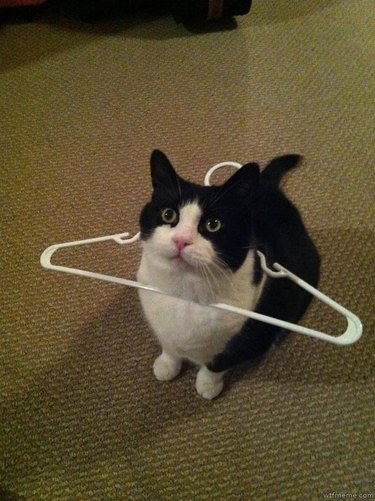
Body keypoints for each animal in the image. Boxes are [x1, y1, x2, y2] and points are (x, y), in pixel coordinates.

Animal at [137, 148, 320, 398]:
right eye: (168, 215)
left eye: (213, 224)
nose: (181, 240)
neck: (184, 292)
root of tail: (267, 185)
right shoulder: (159, 321)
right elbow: (169, 345)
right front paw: (167, 365)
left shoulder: (247, 336)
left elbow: (218, 363)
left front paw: (207, 385)